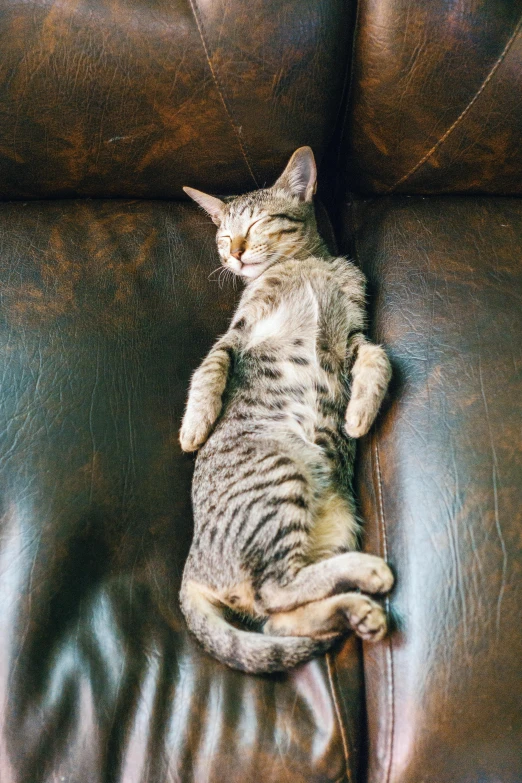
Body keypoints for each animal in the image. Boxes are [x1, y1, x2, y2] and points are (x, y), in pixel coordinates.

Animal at [178, 147, 390, 672]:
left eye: (256, 225)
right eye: (222, 234)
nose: (233, 253)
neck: (306, 266)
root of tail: (194, 566)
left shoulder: (354, 334)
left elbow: (381, 357)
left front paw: (359, 413)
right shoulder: (239, 331)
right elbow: (211, 365)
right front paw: (195, 425)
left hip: (336, 521)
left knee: (278, 618)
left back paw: (358, 611)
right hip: (280, 477)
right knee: (273, 593)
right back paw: (367, 576)